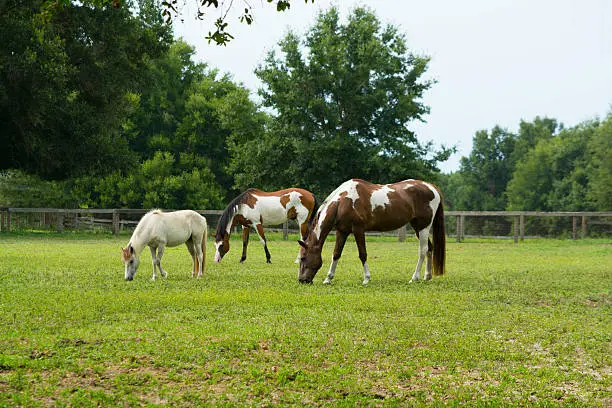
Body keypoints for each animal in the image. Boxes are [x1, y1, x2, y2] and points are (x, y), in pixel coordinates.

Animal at [298, 177, 444, 286]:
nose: (302, 280)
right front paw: (328, 279)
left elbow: (363, 254)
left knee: (423, 250)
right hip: (417, 227)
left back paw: (414, 277)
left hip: (423, 227)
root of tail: (431, 187)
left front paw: (366, 279)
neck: (343, 202)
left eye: (303, 258)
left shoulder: (358, 230)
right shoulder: (342, 231)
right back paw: (427, 276)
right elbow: (336, 254)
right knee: (430, 248)